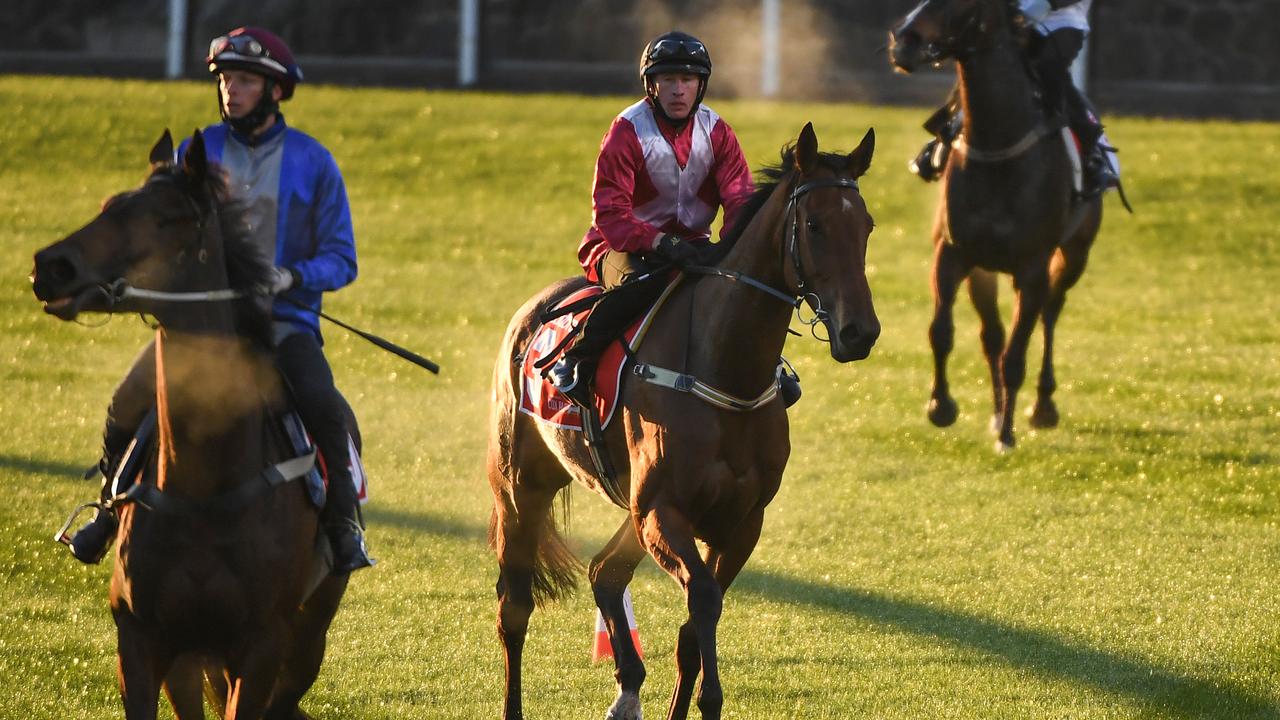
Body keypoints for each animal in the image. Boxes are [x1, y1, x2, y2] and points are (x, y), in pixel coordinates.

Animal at [30, 130, 348, 717]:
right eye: (109, 204)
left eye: (169, 218)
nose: (51, 266)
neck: (205, 489)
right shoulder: (142, 643)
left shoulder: (263, 646)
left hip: (306, 639)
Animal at [488, 122, 880, 717]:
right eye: (814, 224)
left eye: (866, 225)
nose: (860, 331)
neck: (723, 371)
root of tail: (532, 311)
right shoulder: (661, 510)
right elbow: (703, 599)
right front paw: (709, 697)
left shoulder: (740, 521)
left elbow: (696, 624)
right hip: (521, 487)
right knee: (515, 607)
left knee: (605, 572)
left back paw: (628, 685)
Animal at [890, 0, 1100, 448]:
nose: (904, 40)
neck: (998, 148)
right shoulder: (954, 254)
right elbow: (942, 332)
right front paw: (941, 406)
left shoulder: (1032, 268)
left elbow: (1017, 353)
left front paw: (1006, 435)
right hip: (984, 271)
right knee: (993, 336)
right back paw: (998, 410)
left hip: (1075, 253)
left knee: (1050, 314)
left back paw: (1041, 407)